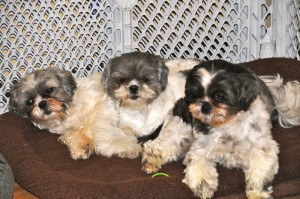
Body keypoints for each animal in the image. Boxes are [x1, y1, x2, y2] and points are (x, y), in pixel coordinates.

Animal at [141, 59, 300, 198]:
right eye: (196, 95)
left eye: (220, 96)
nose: (205, 106)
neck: (228, 125)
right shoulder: (200, 149)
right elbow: (198, 167)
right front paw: (203, 188)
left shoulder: (262, 148)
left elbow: (259, 173)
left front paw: (257, 193)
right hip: (180, 131)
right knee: (155, 146)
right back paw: (151, 161)